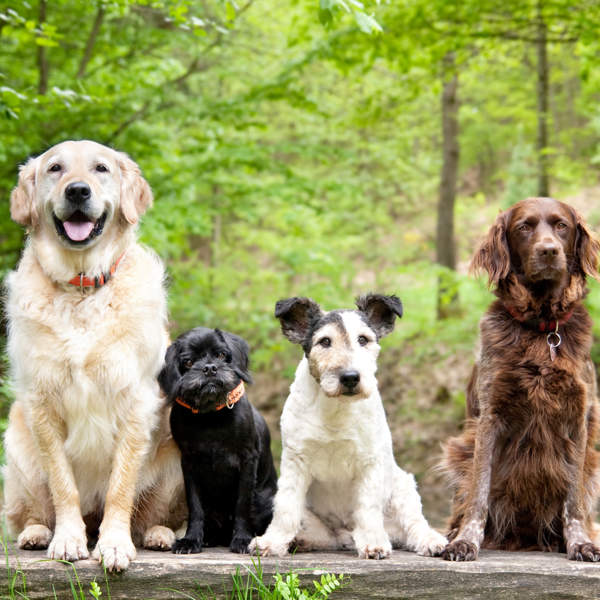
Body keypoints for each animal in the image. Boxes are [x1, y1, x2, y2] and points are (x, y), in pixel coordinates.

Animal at [3, 139, 184, 572]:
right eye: (55, 168)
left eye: (101, 168)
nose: (77, 191)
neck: (82, 286)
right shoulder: (42, 403)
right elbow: (62, 485)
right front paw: (68, 540)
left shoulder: (136, 401)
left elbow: (121, 487)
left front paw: (114, 544)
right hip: (17, 452)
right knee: (32, 511)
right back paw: (37, 533)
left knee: (152, 515)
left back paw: (158, 535)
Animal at [156, 328, 276, 552]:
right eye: (188, 362)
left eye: (221, 355)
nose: (210, 368)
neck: (210, 415)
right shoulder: (189, 464)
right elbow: (195, 507)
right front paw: (191, 539)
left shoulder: (248, 461)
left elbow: (242, 505)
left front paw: (242, 539)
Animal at [440, 198, 600, 564]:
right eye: (524, 227)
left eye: (561, 226)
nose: (549, 251)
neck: (543, 330)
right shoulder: (490, 417)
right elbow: (479, 493)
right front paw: (466, 541)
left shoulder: (578, 418)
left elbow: (573, 501)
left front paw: (579, 542)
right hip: (459, 451)